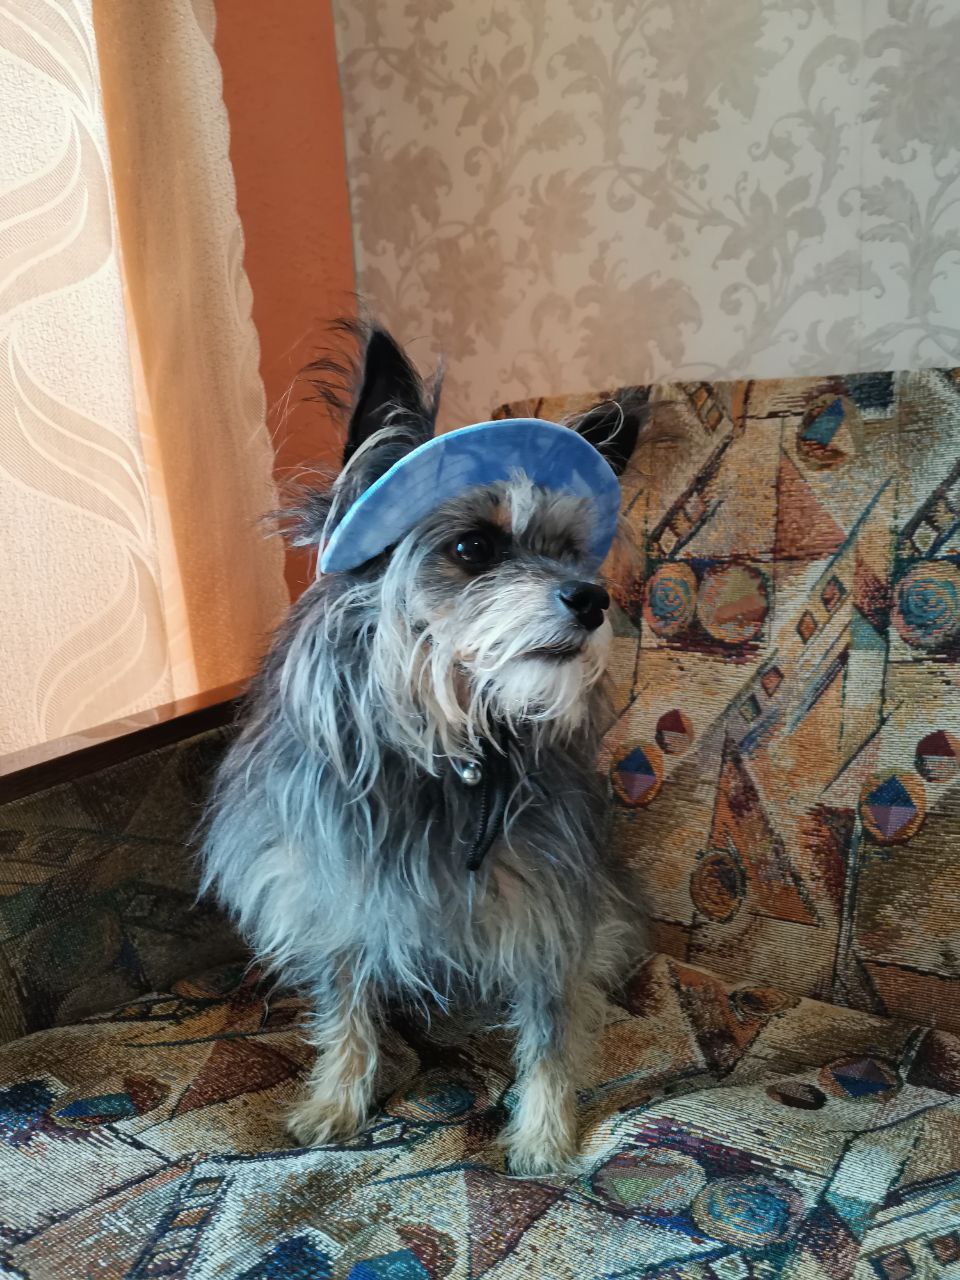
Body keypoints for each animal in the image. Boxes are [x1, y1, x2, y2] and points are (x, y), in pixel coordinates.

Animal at [200, 323, 646, 1174]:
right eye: (473, 547)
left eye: (571, 550)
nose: (594, 598)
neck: (448, 756)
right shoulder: (335, 897)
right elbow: (346, 1010)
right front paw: (337, 1102)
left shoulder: (549, 912)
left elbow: (549, 1031)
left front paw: (543, 1137)